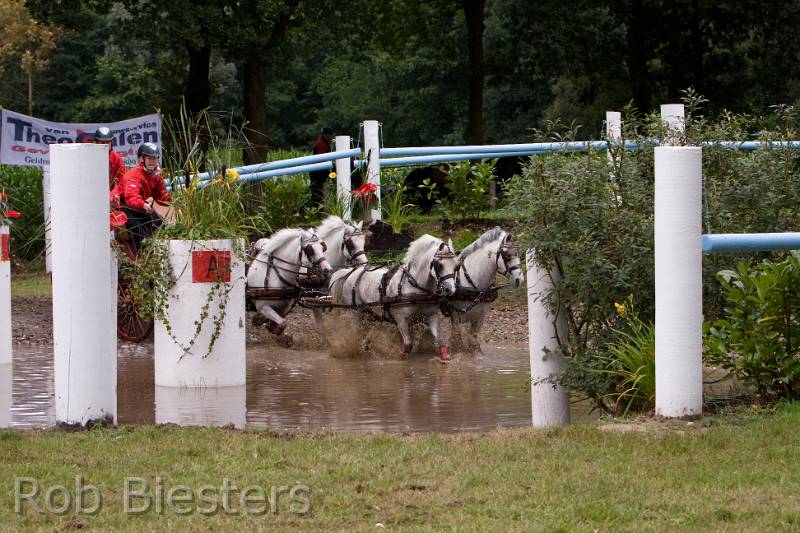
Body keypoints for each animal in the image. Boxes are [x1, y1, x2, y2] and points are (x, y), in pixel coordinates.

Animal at [327, 234, 458, 361]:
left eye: (456, 265)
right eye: (439, 265)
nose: (450, 290)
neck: (414, 286)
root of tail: (352, 272)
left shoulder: (432, 315)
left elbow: (440, 339)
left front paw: (445, 358)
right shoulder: (401, 318)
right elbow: (408, 344)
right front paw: (398, 355)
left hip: (370, 313)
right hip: (357, 312)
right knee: (357, 332)